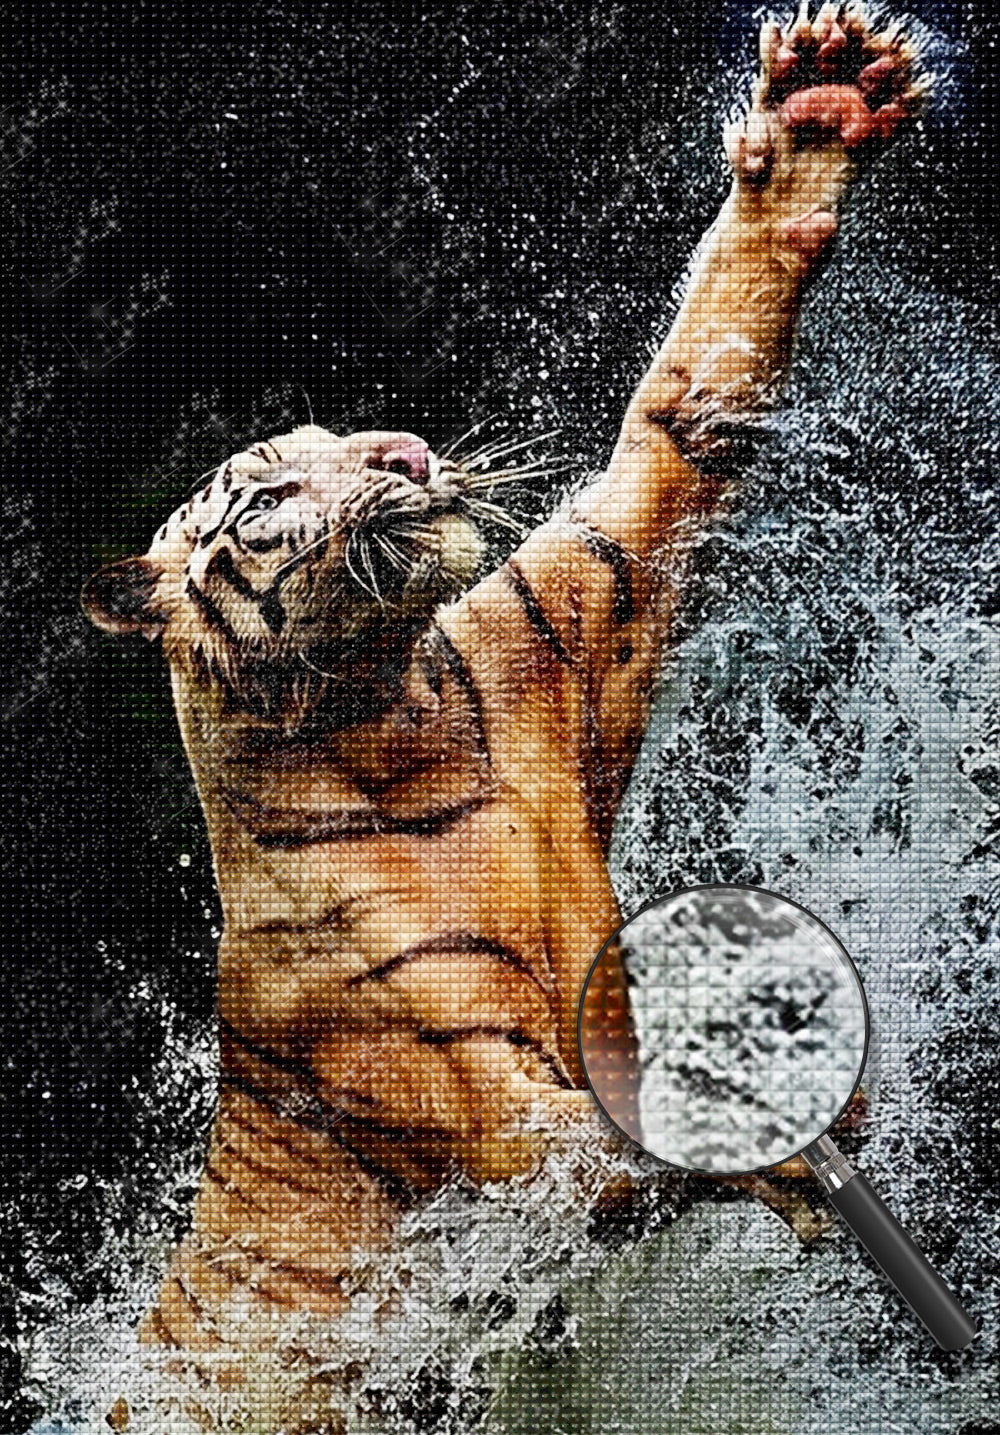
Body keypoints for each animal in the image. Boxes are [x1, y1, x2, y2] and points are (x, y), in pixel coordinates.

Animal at [81, 5, 926, 1428]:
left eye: (341, 435)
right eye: (267, 494)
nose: (406, 454)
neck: (393, 714)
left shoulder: (578, 598)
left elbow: (685, 398)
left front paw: (813, 111)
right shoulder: (484, 1101)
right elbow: (602, 1138)